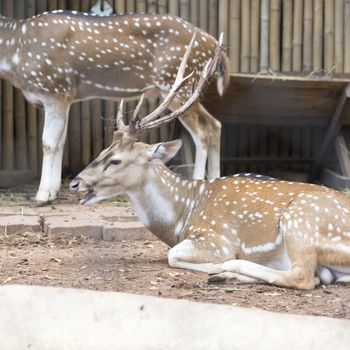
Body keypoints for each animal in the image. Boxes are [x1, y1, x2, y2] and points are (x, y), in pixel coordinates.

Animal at [0, 8, 230, 205]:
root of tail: (214, 45)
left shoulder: (54, 89)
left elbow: (48, 142)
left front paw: (42, 196)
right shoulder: (65, 97)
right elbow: (60, 142)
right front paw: (54, 191)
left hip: (176, 85)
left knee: (202, 131)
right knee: (215, 124)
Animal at [68, 33, 350, 290]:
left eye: (115, 160)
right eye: (102, 151)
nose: (74, 183)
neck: (181, 219)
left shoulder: (216, 239)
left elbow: (173, 255)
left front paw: (216, 265)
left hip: (301, 221)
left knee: (303, 277)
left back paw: (228, 269)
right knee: (319, 276)